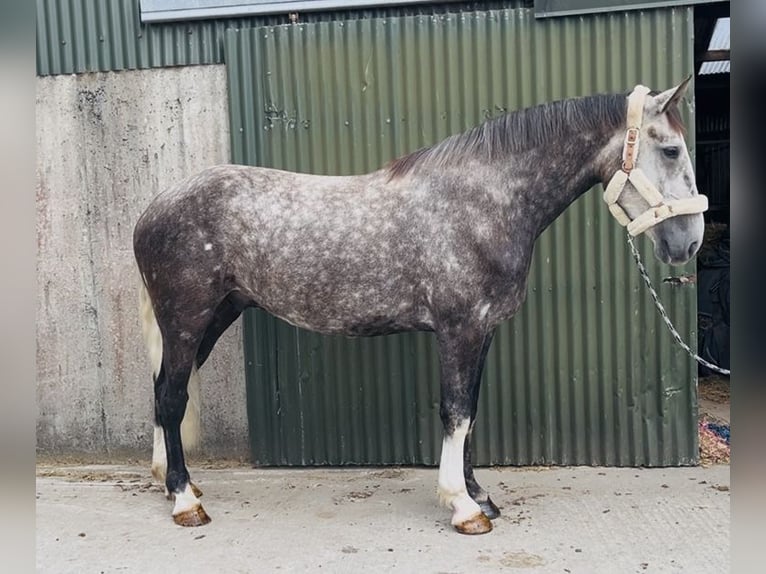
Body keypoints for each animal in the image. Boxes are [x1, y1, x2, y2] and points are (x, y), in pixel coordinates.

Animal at [133, 79, 707, 534]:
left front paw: (479, 496)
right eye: (672, 150)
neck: (483, 202)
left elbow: (471, 411)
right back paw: (183, 500)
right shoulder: (459, 330)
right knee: (171, 398)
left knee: (166, 392)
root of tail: (152, 208)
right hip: (186, 320)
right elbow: (455, 411)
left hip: (213, 317)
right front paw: (462, 507)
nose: (690, 243)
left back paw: (175, 483)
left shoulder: (482, 330)